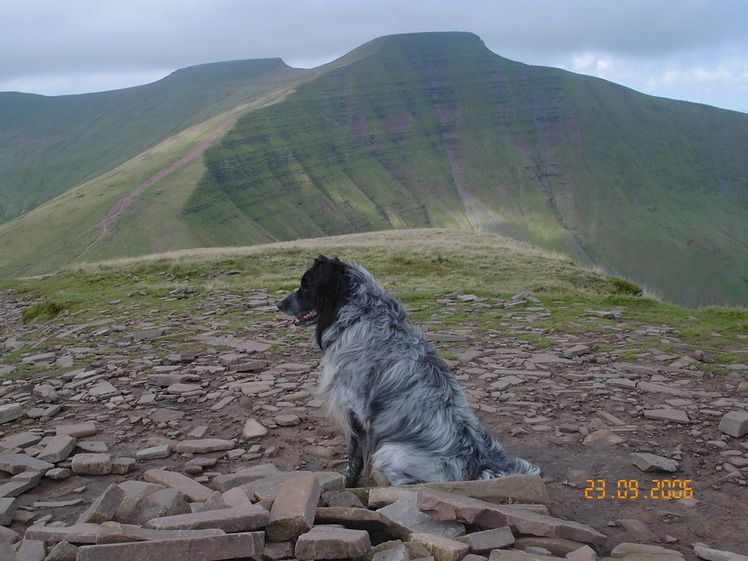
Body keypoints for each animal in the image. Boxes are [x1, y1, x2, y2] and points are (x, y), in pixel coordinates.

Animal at [276, 255, 536, 486]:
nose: (278, 304)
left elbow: (354, 458)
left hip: (389, 452)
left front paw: (348, 483)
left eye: (305, 287)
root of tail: (481, 467)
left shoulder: (356, 412)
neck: (359, 317)